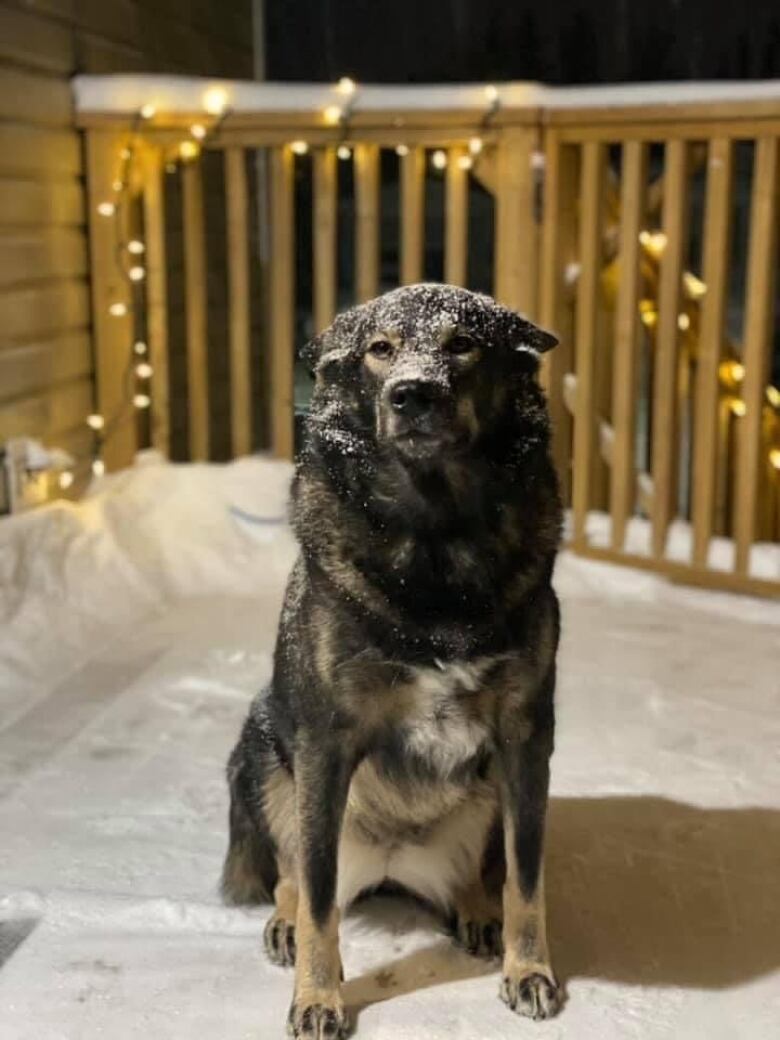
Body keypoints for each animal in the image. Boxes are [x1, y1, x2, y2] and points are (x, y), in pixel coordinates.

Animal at [222, 284, 565, 1040]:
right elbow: (319, 896)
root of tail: (389, 862)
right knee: (292, 871)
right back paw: (283, 922)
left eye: (463, 344)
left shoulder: (526, 738)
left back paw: (476, 909)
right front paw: (317, 998)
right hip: (261, 751)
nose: (413, 393)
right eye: (380, 349)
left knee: (481, 870)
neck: (435, 536)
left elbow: (527, 875)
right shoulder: (324, 745)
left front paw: (530, 971)